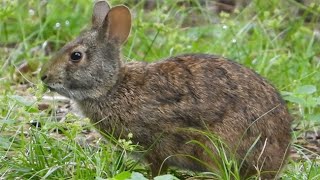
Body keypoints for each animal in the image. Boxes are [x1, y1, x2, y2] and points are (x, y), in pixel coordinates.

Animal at [38, 1, 292, 179]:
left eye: (76, 56)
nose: (44, 76)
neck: (112, 87)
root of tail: (280, 156)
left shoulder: (158, 145)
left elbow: (158, 168)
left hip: (218, 144)